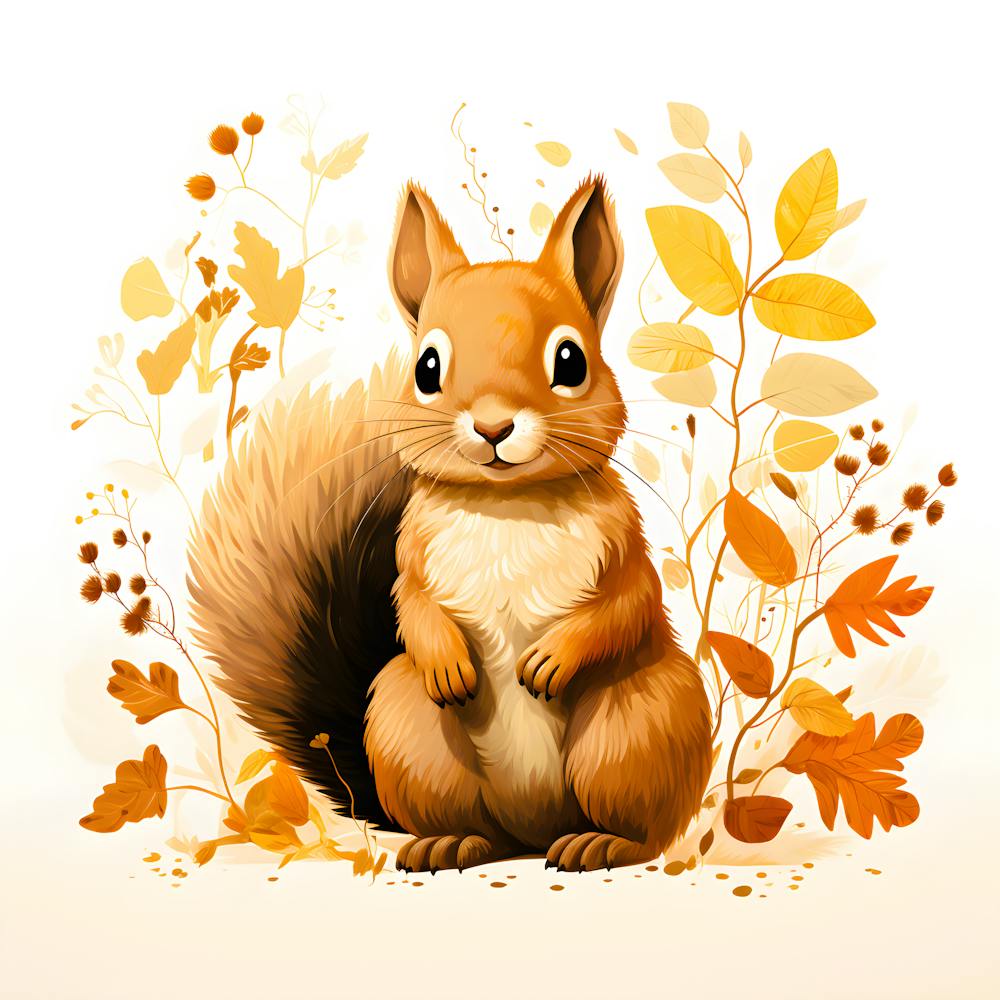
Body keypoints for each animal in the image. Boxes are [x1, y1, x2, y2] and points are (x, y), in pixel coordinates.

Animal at [188, 176, 712, 873]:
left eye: (571, 361)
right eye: (427, 367)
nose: (493, 426)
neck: (507, 505)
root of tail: (534, 831)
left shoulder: (625, 544)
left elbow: (627, 605)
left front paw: (551, 658)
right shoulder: (412, 553)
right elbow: (412, 604)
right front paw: (447, 664)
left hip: (637, 727)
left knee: (646, 830)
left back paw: (602, 842)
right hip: (409, 726)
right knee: (475, 828)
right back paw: (449, 843)